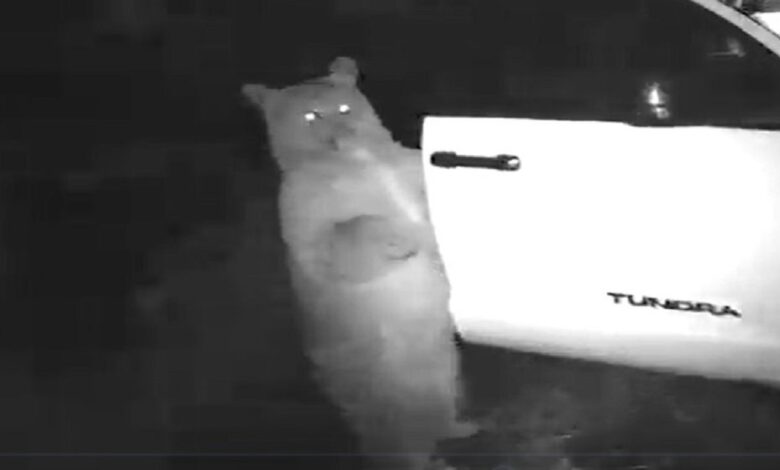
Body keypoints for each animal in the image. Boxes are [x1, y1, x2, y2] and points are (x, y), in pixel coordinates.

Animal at [242, 57, 478, 470]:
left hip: (444, 382)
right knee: (404, 448)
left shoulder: (408, 168)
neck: (360, 162)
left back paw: (462, 428)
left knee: (441, 418)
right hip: (387, 405)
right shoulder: (312, 228)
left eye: (344, 108)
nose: (344, 132)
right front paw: (404, 235)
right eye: (311, 115)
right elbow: (354, 231)